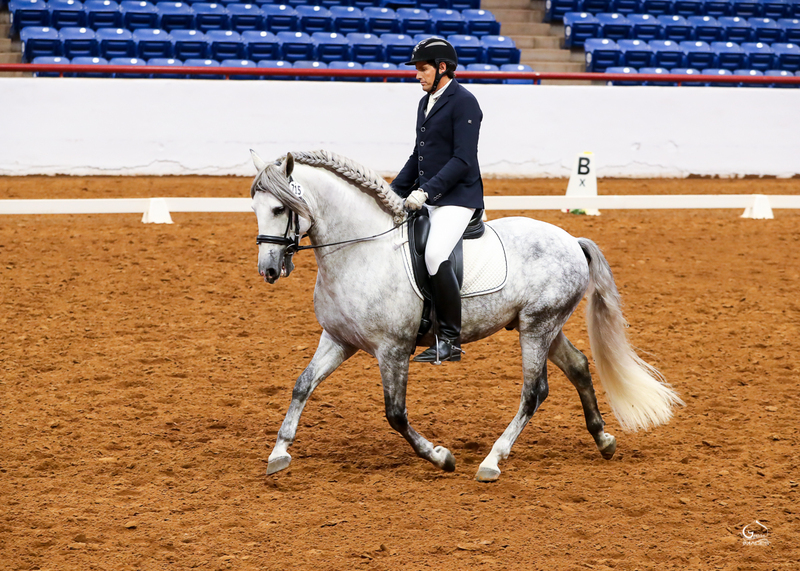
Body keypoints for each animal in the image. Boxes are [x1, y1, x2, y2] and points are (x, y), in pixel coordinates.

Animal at [250, 149, 683, 482]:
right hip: (543, 325)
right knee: (577, 366)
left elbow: (395, 414)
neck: (362, 251)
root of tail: (572, 241)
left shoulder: (393, 350)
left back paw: (492, 460)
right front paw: (278, 453)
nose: (268, 269)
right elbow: (302, 385)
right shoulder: (339, 340)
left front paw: (441, 457)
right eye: (254, 207)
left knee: (534, 392)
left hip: (537, 327)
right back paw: (603, 440)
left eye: (279, 208)